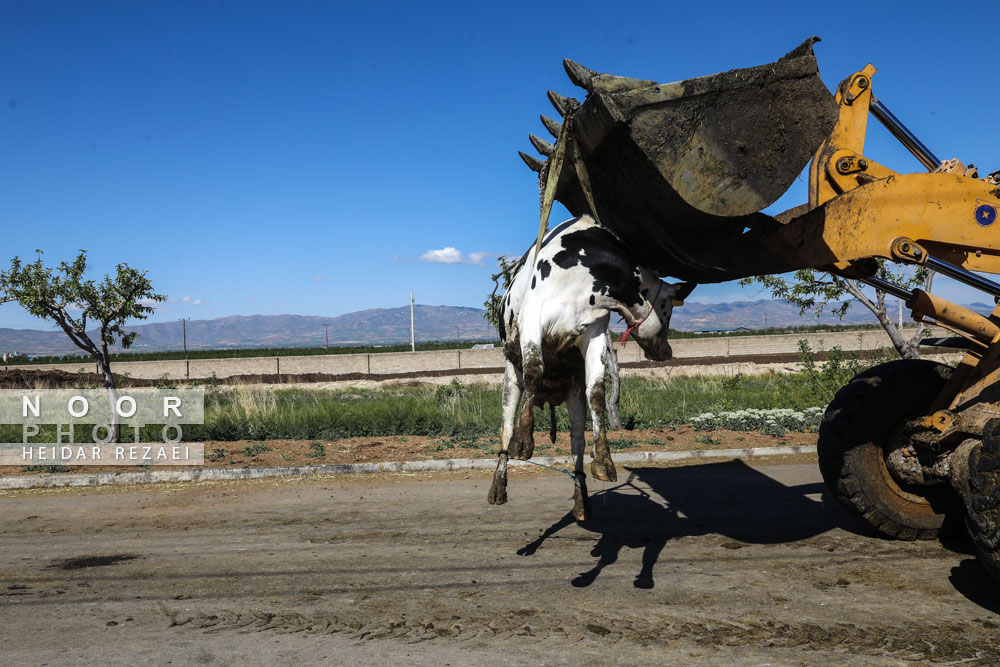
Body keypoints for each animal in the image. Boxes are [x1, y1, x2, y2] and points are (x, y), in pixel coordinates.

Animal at [486, 217, 692, 520]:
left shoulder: (595, 332)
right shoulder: (533, 319)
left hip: (573, 395)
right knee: (505, 429)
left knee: (577, 445)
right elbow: (535, 368)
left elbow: (597, 392)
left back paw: (581, 499)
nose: (666, 351)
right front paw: (523, 441)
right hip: (511, 377)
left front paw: (605, 461)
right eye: (669, 307)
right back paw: (498, 487)